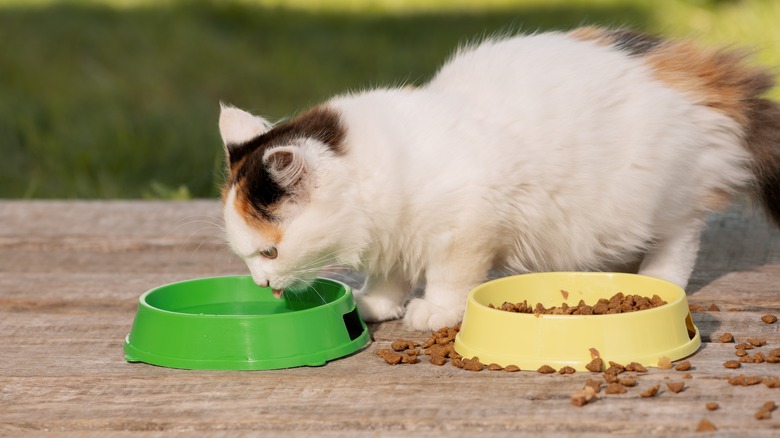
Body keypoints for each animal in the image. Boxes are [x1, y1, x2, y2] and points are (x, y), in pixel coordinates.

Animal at [215, 26, 780, 328]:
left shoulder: (468, 228)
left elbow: (449, 276)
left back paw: (658, 276)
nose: (262, 283)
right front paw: (377, 303)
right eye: (250, 257)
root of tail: (700, 74)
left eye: (269, 253)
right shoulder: (392, 238)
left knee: (681, 236)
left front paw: (435, 312)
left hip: (659, 197)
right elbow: (391, 273)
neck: (387, 163)